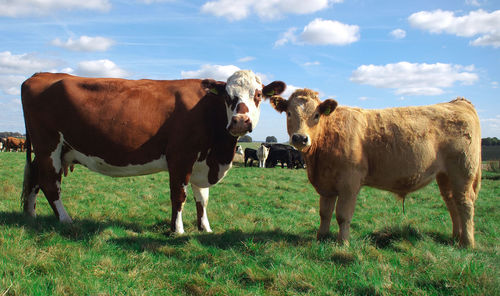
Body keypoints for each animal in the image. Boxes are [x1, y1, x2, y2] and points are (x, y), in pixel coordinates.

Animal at [20, 71, 286, 234]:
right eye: (228, 96)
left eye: (258, 95)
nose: (240, 121)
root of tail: (40, 75)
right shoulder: (180, 156)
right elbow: (179, 196)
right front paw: (177, 230)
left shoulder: (202, 162)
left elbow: (202, 198)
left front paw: (205, 228)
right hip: (48, 146)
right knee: (50, 183)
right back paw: (66, 220)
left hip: (52, 151)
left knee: (34, 178)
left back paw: (30, 215)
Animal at [272, 89, 482, 247]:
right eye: (289, 113)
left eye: (316, 115)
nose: (300, 138)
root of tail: (458, 102)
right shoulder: (327, 184)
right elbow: (325, 213)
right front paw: (321, 238)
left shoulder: (349, 184)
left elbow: (343, 215)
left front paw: (343, 243)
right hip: (445, 176)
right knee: (452, 202)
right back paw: (455, 237)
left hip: (463, 171)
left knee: (465, 203)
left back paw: (467, 243)